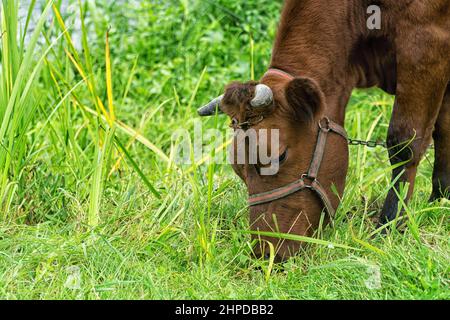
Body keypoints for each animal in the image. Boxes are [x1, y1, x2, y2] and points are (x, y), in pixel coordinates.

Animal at [198, 0, 450, 262]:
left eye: (278, 156)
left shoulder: (425, 43)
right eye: (237, 168)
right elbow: (444, 130)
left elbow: (404, 142)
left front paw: (389, 225)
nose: (265, 252)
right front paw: (440, 200)